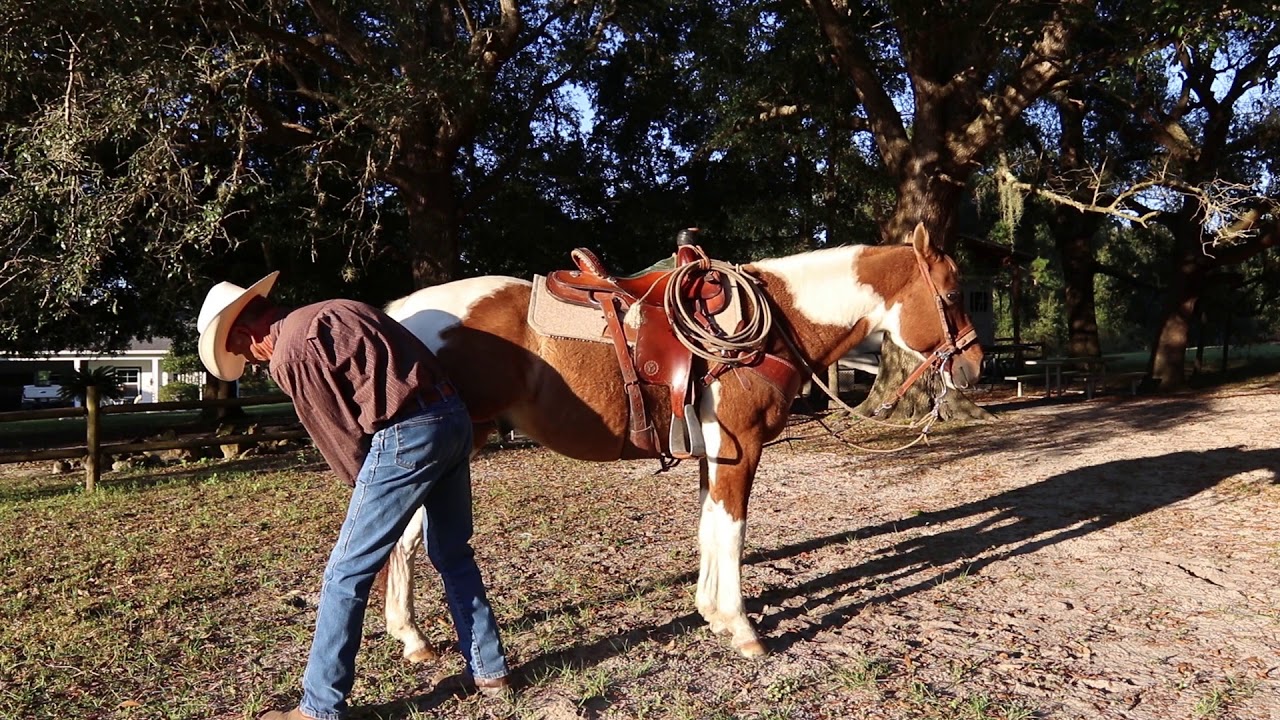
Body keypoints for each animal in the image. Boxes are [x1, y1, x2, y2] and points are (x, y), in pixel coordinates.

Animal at [379, 224, 983, 660]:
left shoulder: (713, 454)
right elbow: (733, 531)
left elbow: (709, 526)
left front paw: (711, 613)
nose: (974, 365)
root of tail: (397, 316)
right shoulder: (742, 448)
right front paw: (742, 628)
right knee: (401, 541)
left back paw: (412, 639)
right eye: (954, 293)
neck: (775, 326)